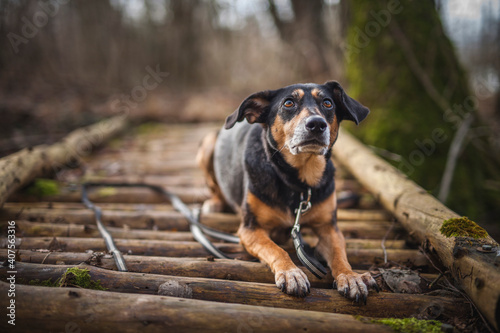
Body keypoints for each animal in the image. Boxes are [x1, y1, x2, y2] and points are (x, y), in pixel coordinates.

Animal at [197, 80, 376, 300]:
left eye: (327, 103)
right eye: (288, 103)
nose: (317, 124)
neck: (299, 182)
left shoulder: (329, 228)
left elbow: (339, 254)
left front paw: (350, 276)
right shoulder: (249, 229)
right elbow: (276, 249)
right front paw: (292, 273)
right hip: (207, 146)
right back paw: (215, 202)